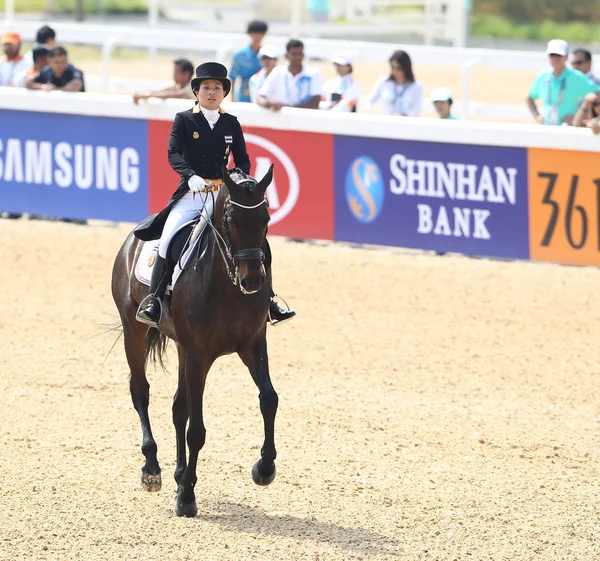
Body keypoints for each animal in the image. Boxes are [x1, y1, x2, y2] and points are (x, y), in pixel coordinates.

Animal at [112, 165, 278, 516]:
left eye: (266, 219)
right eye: (232, 221)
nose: (253, 281)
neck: (227, 284)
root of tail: (132, 237)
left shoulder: (252, 345)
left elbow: (269, 399)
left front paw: (264, 468)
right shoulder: (200, 354)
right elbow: (197, 430)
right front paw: (187, 497)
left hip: (181, 348)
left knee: (178, 406)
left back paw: (177, 473)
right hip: (134, 330)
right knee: (140, 391)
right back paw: (152, 470)